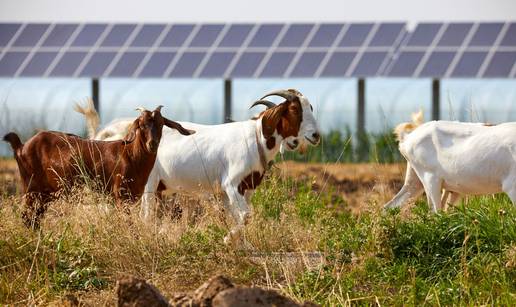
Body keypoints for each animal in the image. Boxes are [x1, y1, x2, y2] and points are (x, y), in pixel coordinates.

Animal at [2, 106, 194, 229]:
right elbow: (128, 225)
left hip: (45, 193)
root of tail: (21, 146)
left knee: (35, 218)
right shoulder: (120, 195)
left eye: (161, 124)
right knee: (27, 217)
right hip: (31, 188)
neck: (130, 155)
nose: (152, 144)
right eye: (141, 125)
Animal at [75, 89, 320, 243]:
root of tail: (113, 132)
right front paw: (227, 240)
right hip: (148, 185)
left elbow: (240, 218)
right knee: (146, 215)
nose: (316, 135)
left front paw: (241, 246)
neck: (256, 137)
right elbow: (246, 216)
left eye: (311, 108)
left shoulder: (239, 191)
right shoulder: (232, 184)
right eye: (295, 110)